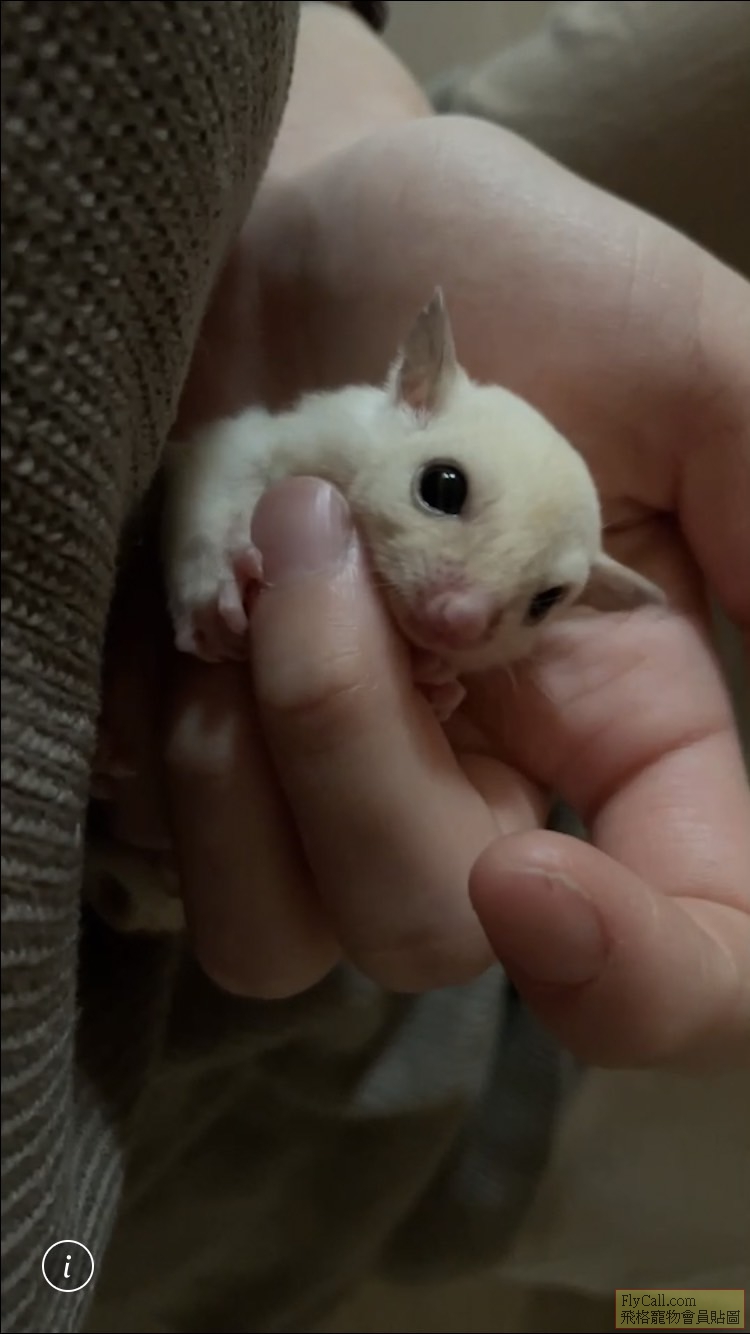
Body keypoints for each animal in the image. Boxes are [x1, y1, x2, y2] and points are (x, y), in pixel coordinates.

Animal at [87, 288, 666, 934]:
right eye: (442, 485)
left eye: (545, 603)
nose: (459, 621)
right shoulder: (281, 437)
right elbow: (219, 468)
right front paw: (214, 586)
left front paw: (435, 683)